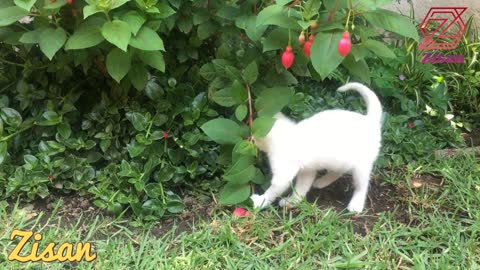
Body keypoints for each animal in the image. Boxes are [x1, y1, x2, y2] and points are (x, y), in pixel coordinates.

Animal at [251, 82, 382, 213]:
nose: (252, 139)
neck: (287, 135)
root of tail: (370, 120)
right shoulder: (307, 170)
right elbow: (301, 187)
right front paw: (293, 201)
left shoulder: (284, 173)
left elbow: (273, 190)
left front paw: (260, 201)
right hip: (340, 161)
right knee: (338, 172)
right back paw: (322, 182)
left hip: (361, 167)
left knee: (362, 186)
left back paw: (356, 204)